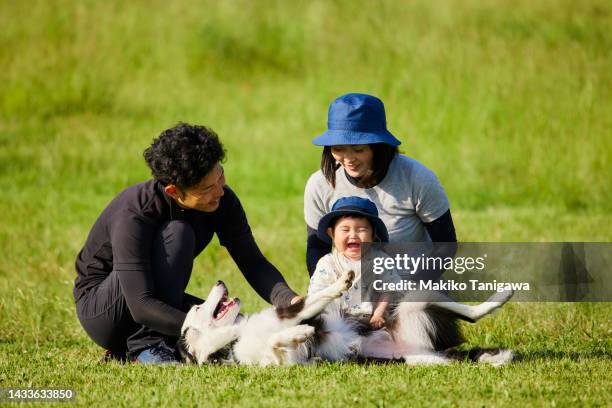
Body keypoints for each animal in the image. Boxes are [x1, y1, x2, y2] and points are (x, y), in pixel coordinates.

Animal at [178, 270, 516, 366]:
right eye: (196, 309)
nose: (220, 281)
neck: (233, 339)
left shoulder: (293, 311)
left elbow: (316, 299)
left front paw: (342, 282)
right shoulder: (281, 364)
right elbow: (278, 342)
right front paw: (299, 335)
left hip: (415, 297)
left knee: (472, 313)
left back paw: (504, 293)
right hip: (421, 360)